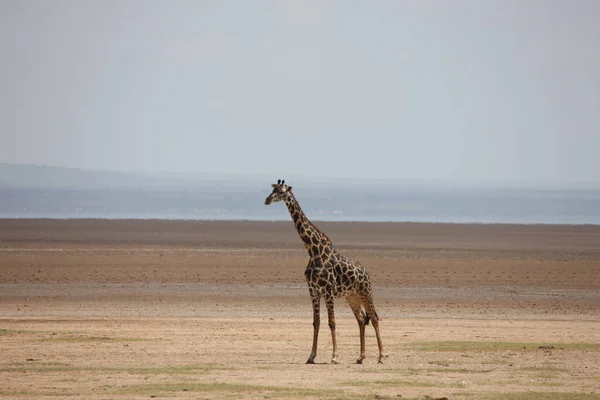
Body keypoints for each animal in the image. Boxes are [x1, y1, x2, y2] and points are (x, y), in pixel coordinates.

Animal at [262, 180, 384, 364]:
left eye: (281, 192)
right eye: (272, 189)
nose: (267, 200)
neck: (313, 251)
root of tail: (366, 272)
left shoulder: (328, 290)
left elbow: (331, 322)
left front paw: (334, 356)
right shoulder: (313, 291)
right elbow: (316, 322)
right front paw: (311, 356)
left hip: (365, 292)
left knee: (374, 317)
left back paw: (381, 356)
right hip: (352, 296)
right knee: (362, 319)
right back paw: (360, 357)